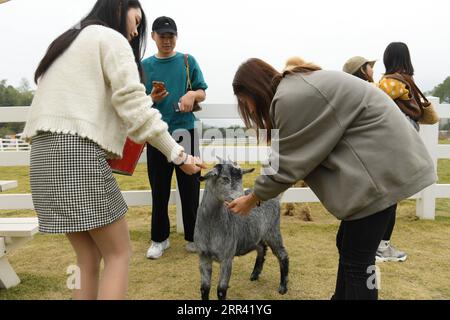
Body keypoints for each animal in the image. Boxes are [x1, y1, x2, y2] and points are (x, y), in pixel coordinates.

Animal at [193, 159, 288, 300]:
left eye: (241, 177)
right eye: (225, 178)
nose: (241, 199)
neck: (211, 228)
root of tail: (275, 197)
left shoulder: (227, 258)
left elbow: (221, 290)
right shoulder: (203, 257)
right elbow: (204, 288)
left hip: (273, 230)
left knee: (282, 254)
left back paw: (283, 287)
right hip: (254, 234)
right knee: (261, 248)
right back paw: (255, 274)